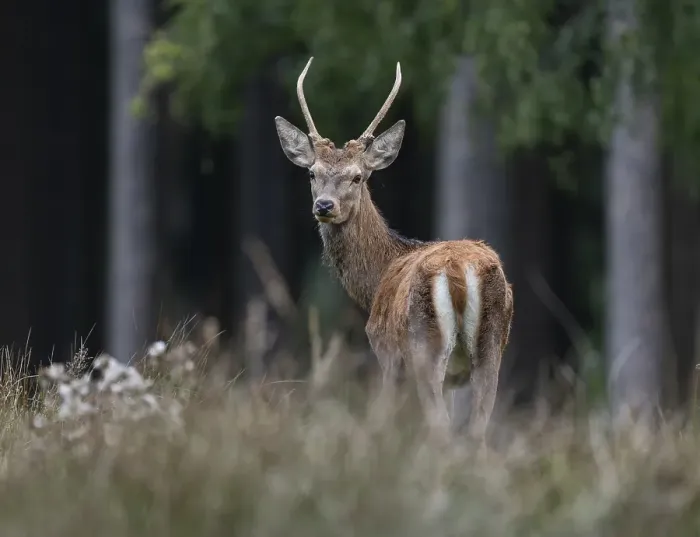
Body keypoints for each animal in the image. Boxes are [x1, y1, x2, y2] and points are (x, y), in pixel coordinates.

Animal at [274, 57, 514, 445]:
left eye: (358, 176)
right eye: (312, 173)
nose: (324, 205)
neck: (377, 279)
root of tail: (461, 272)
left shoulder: (385, 351)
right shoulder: (454, 379)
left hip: (425, 344)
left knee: (439, 426)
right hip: (491, 345)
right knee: (477, 427)